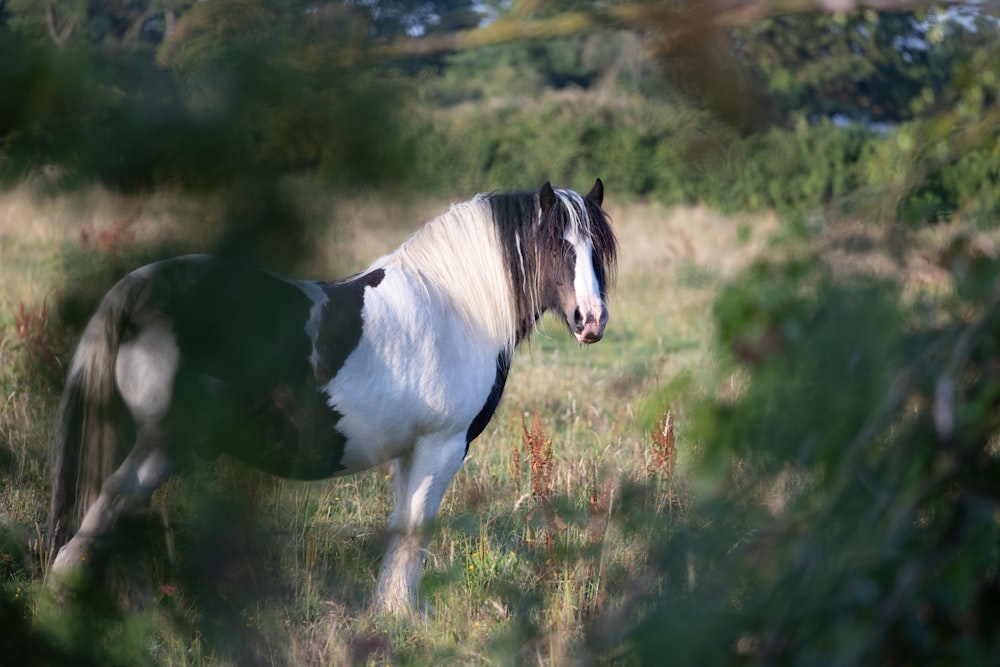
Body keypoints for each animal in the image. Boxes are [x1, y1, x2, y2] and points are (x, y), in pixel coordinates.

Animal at [50, 179, 620, 616]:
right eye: (557, 245)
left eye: (597, 250)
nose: (591, 321)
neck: (456, 307)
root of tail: (138, 291)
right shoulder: (441, 445)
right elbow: (416, 529)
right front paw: (404, 617)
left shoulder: (412, 452)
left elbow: (400, 527)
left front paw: (392, 612)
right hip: (162, 442)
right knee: (109, 508)